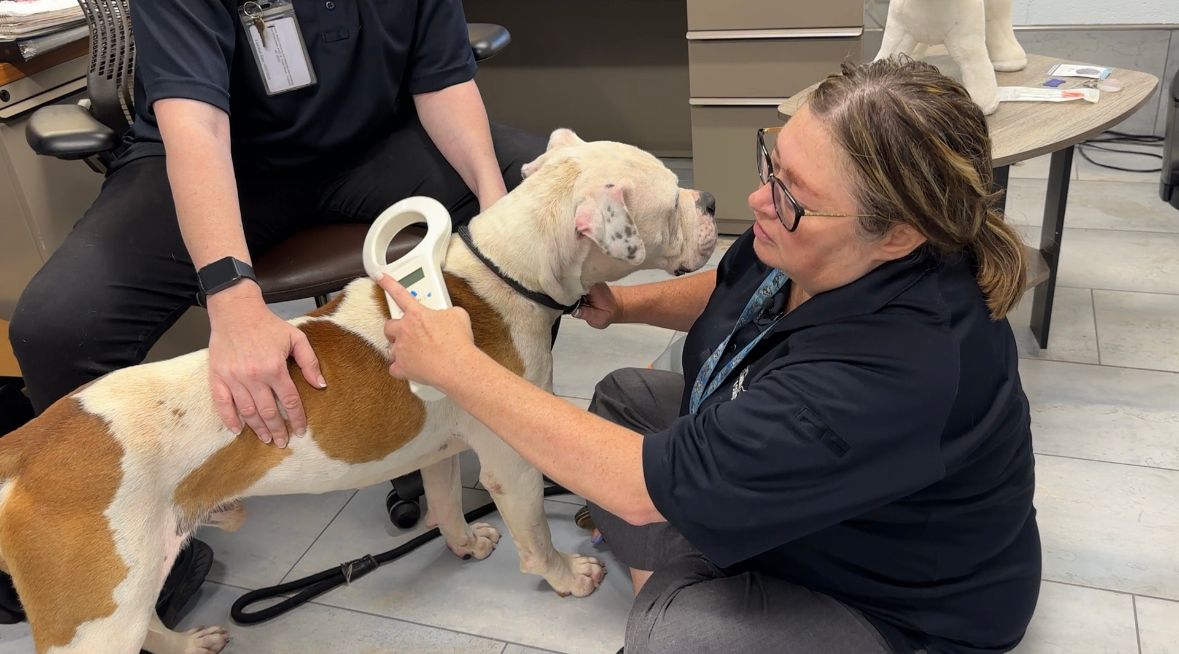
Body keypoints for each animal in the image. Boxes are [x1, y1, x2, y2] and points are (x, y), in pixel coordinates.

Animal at [0, 129, 716, 654]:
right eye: (671, 198)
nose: (709, 203)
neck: (507, 271)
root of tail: (27, 447)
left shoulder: (439, 449)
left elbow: (445, 503)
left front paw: (463, 544)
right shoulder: (512, 465)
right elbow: (536, 537)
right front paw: (568, 577)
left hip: (129, 584)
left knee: (149, 618)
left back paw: (188, 642)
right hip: (95, 617)